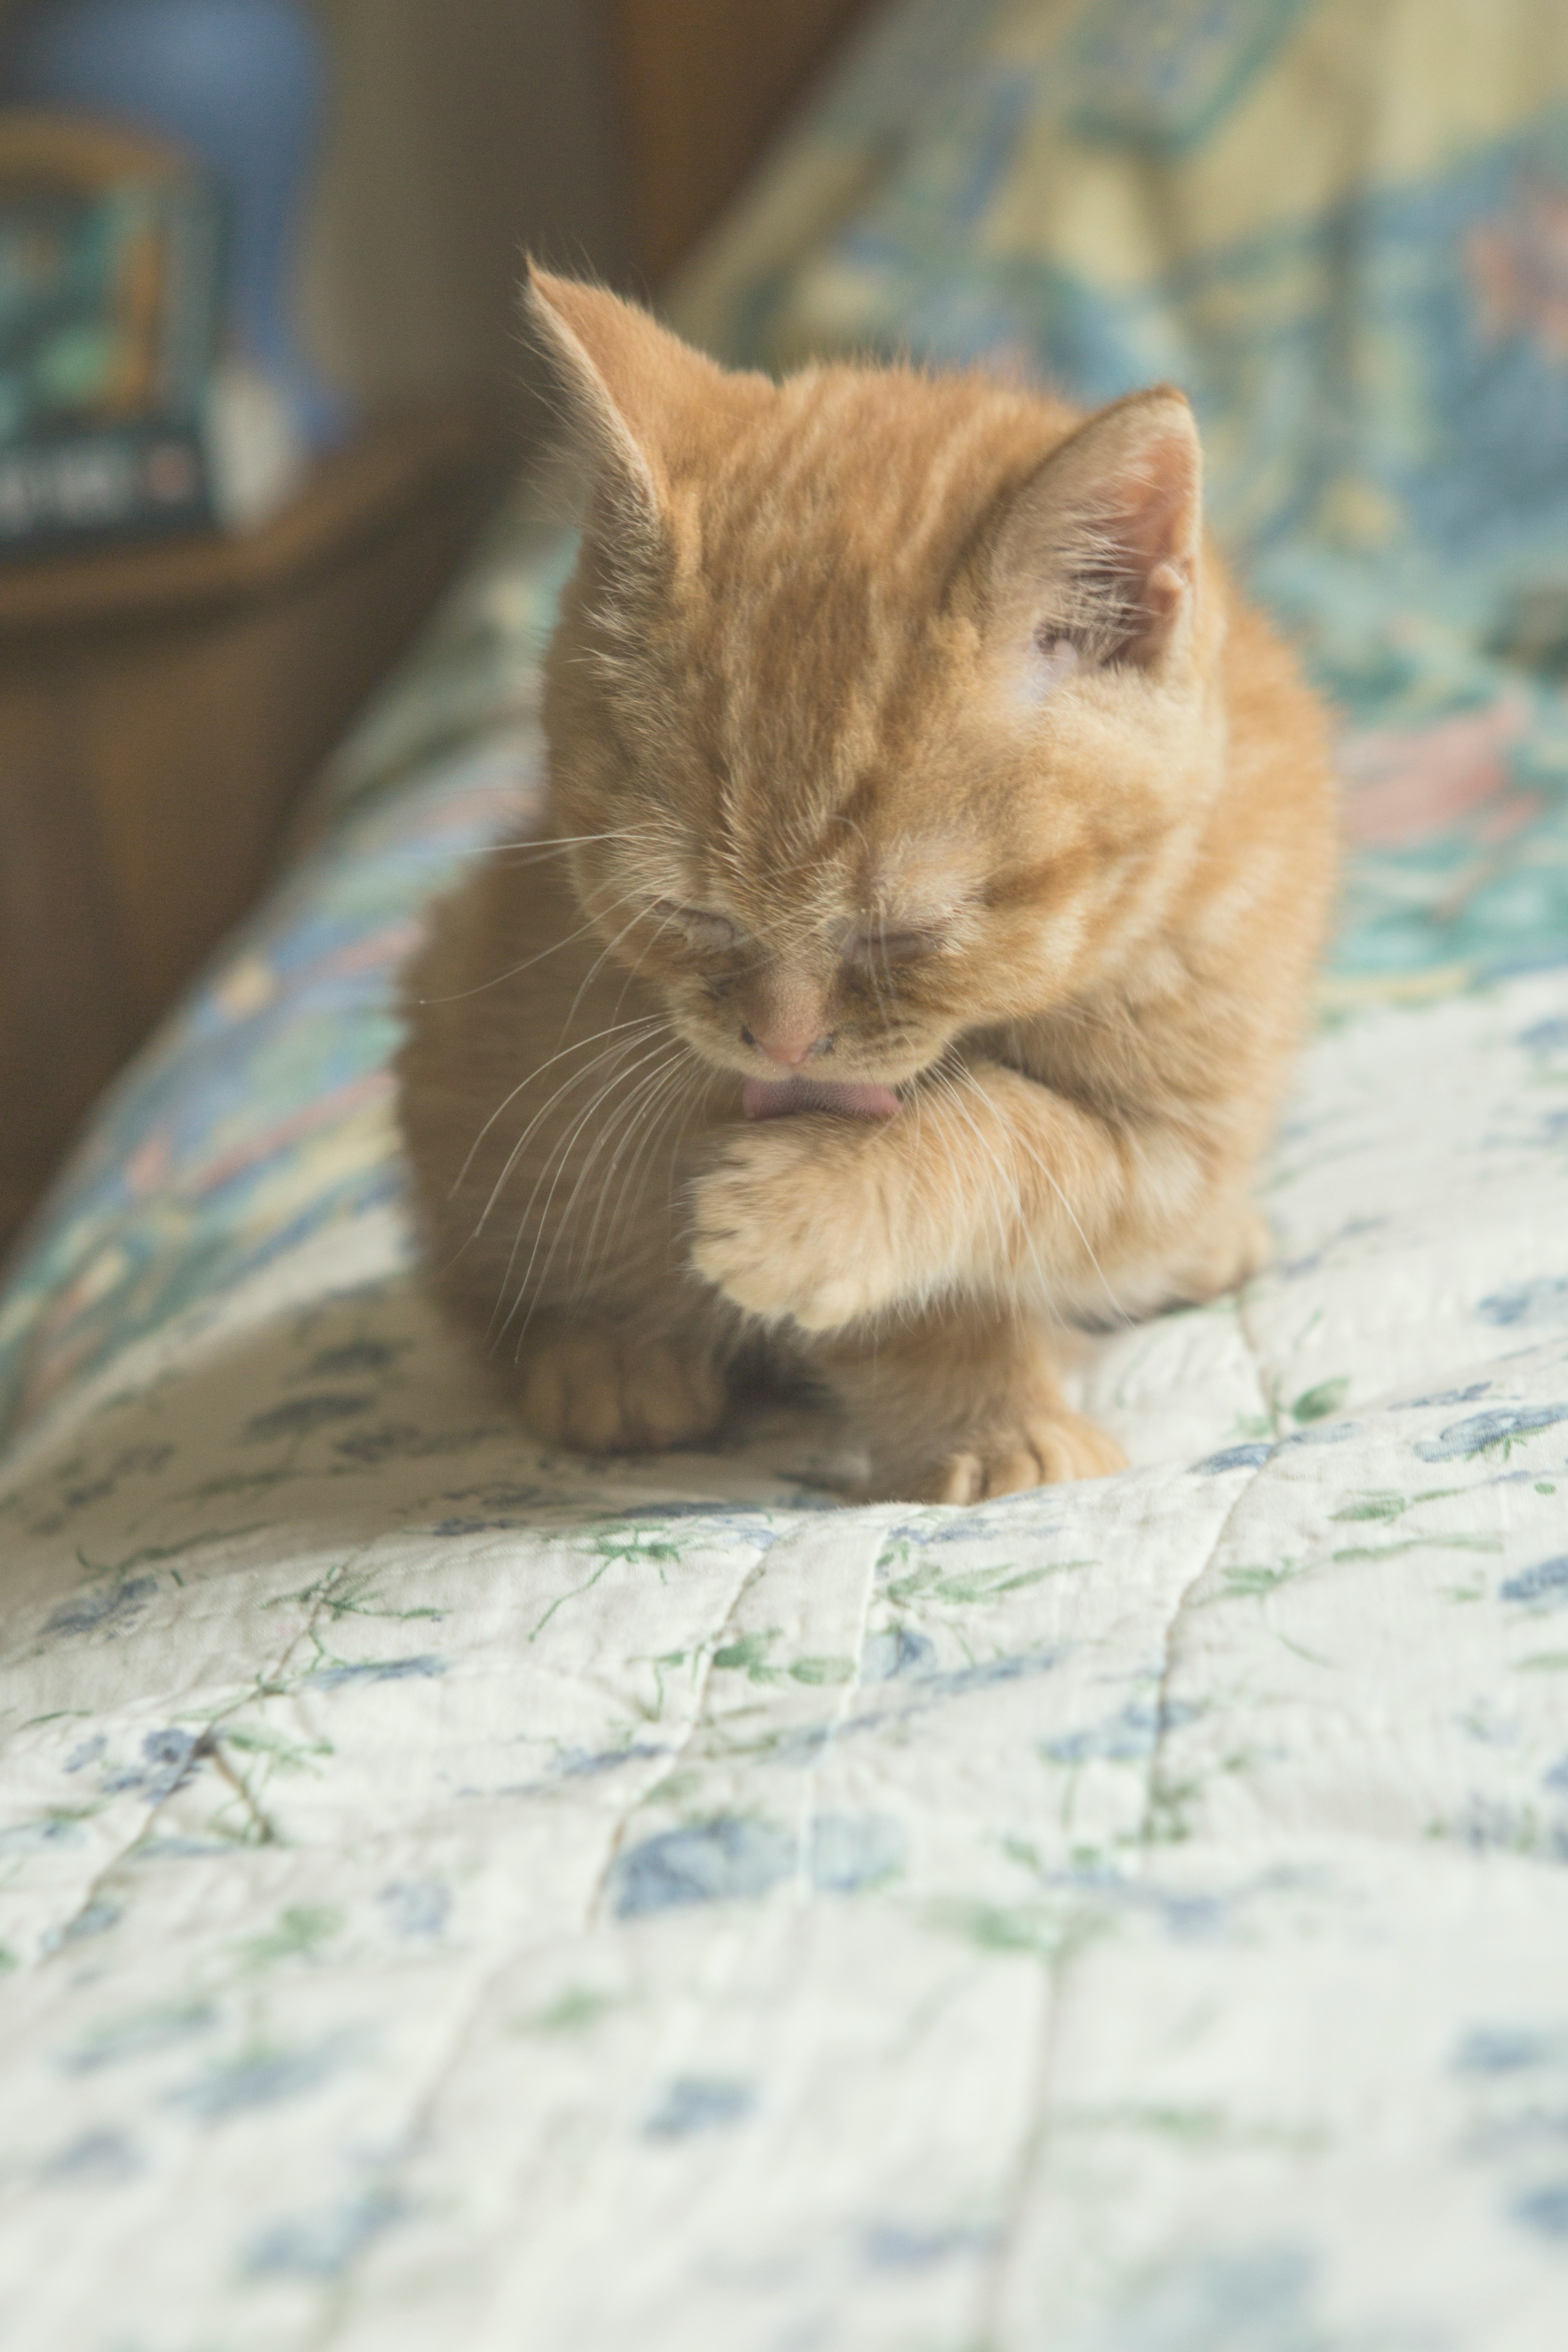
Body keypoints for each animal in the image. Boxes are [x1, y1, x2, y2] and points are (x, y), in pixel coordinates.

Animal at [395, 267, 1335, 1496]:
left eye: (906, 931)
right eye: (683, 911)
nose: (783, 1041)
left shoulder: (1183, 1140)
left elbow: (1023, 1139)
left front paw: (827, 1198)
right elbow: (919, 1295)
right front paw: (995, 1421)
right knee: (476, 1279)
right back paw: (606, 1358)